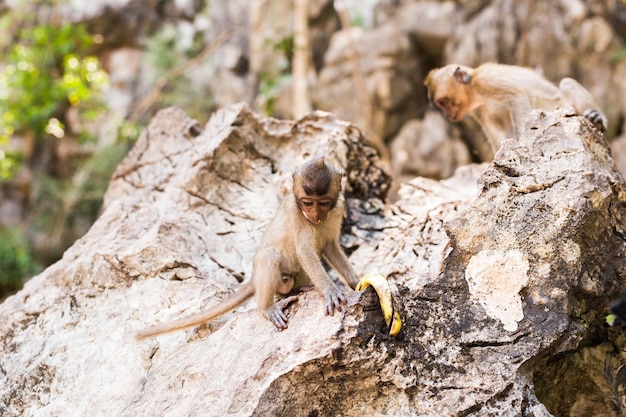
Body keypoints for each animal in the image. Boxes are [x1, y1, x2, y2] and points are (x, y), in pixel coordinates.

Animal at [138, 157, 360, 338]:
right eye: (307, 203)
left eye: (322, 203)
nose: (313, 215)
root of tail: (253, 279)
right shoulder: (296, 213)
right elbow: (305, 252)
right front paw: (330, 291)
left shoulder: (338, 209)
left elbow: (330, 247)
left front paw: (355, 282)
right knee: (269, 255)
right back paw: (267, 308)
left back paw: (301, 289)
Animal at [422, 62, 608, 152]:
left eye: (442, 102)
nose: (446, 114)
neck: (473, 87)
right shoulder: (478, 111)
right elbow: (496, 133)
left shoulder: (486, 81)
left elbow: (516, 98)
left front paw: (523, 141)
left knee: (566, 83)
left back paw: (596, 120)